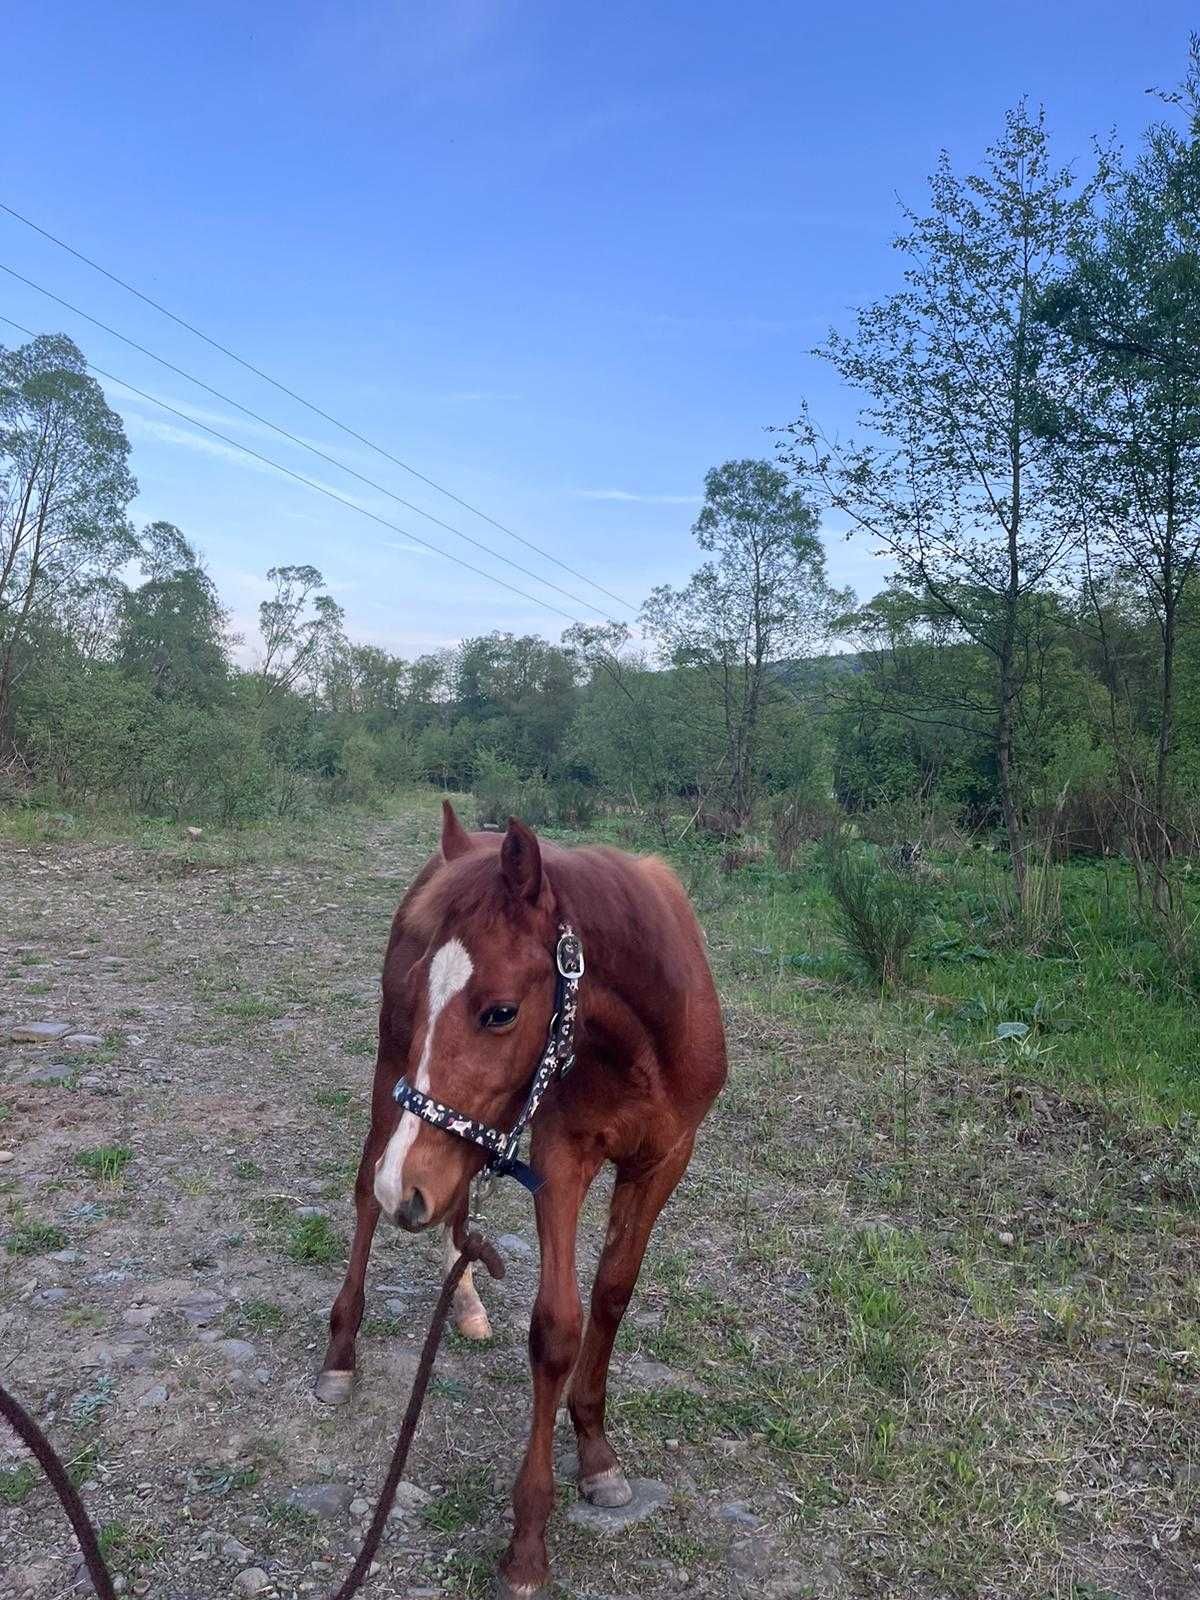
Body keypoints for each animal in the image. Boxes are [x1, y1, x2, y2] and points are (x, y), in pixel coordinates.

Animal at [316, 806, 723, 1593]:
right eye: (422, 989)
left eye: (501, 1012)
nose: (405, 1186)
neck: (640, 1045)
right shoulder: (560, 1159)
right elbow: (556, 1327)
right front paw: (529, 1540)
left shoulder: (663, 1161)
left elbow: (613, 1295)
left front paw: (595, 1452)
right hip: (394, 1085)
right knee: (367, 1197)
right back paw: (341, 1352)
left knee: (444, 1205)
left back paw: (466, 1303)